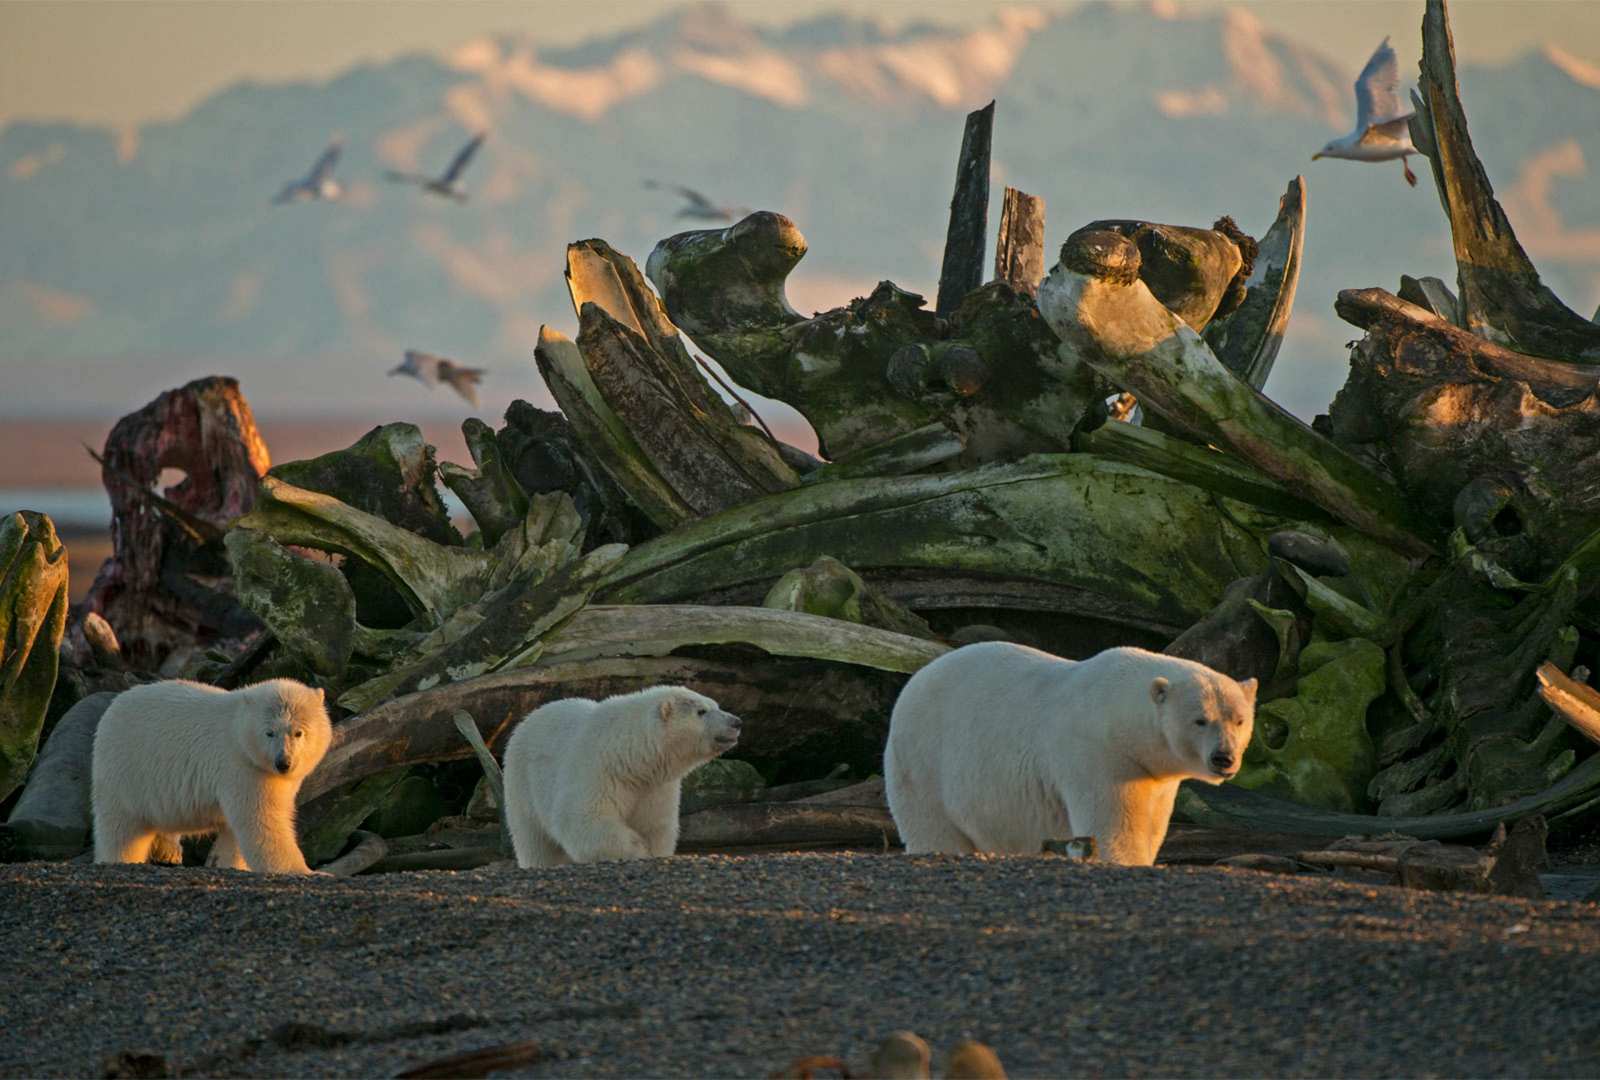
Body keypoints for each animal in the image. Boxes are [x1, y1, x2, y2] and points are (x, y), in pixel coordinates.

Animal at [91, 678, 333, 874]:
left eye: (298, 732)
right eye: (269, 732)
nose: (283, 763)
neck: (238, 731)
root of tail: (110, 710)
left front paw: (229, 863)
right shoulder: (241, 766)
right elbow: (262, 820)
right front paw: (308, 871)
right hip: (126, 771)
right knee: (121, 830)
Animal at [500, 685, 741, 868]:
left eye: (717, 705)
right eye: (701, 711)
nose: (736, 722)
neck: (628, 756)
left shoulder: (656, 786)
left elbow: (655, 824)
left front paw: (652, 850)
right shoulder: (596, 771)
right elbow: (584, 819)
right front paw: (638, 848)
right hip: (522, 784)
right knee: (534, 840)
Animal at [884, 642, 1256, 866]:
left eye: (1239, 720)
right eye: (1200, 720)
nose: (1224, 758)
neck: (1119, 713)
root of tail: (915, 680)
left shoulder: (1152, 773)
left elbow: (1152, 823)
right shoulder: (1098, 754)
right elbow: (1113, 825)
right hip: (923, 758)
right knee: (933, 825)